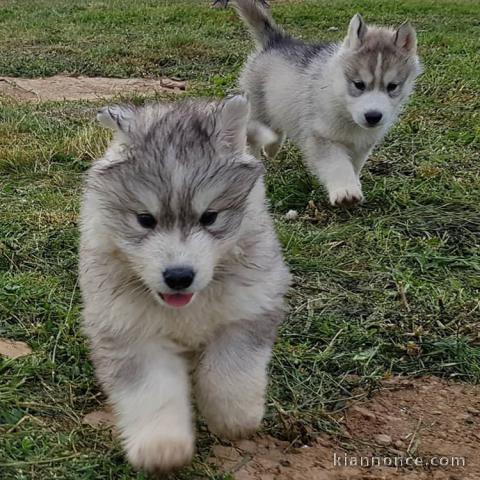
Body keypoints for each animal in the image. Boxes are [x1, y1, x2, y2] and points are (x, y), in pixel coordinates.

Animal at [79, 95, 290, 470]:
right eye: (145, 219)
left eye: (210, 217)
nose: (179, 276)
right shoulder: (131, 332)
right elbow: (153, 390)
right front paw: (162, 446)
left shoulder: (247, 309)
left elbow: (230, 370)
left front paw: (233, 418)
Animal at [234, 0, 422, 206]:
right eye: (359, 84)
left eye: (392, 86)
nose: (373, 116)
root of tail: (277, 41)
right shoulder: (321, 137)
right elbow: (337, 165)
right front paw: (346, 191)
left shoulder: (362, 145)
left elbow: (354, 165)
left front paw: (354, 182)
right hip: (259, 108)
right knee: (254, 136)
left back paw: (271, 148)